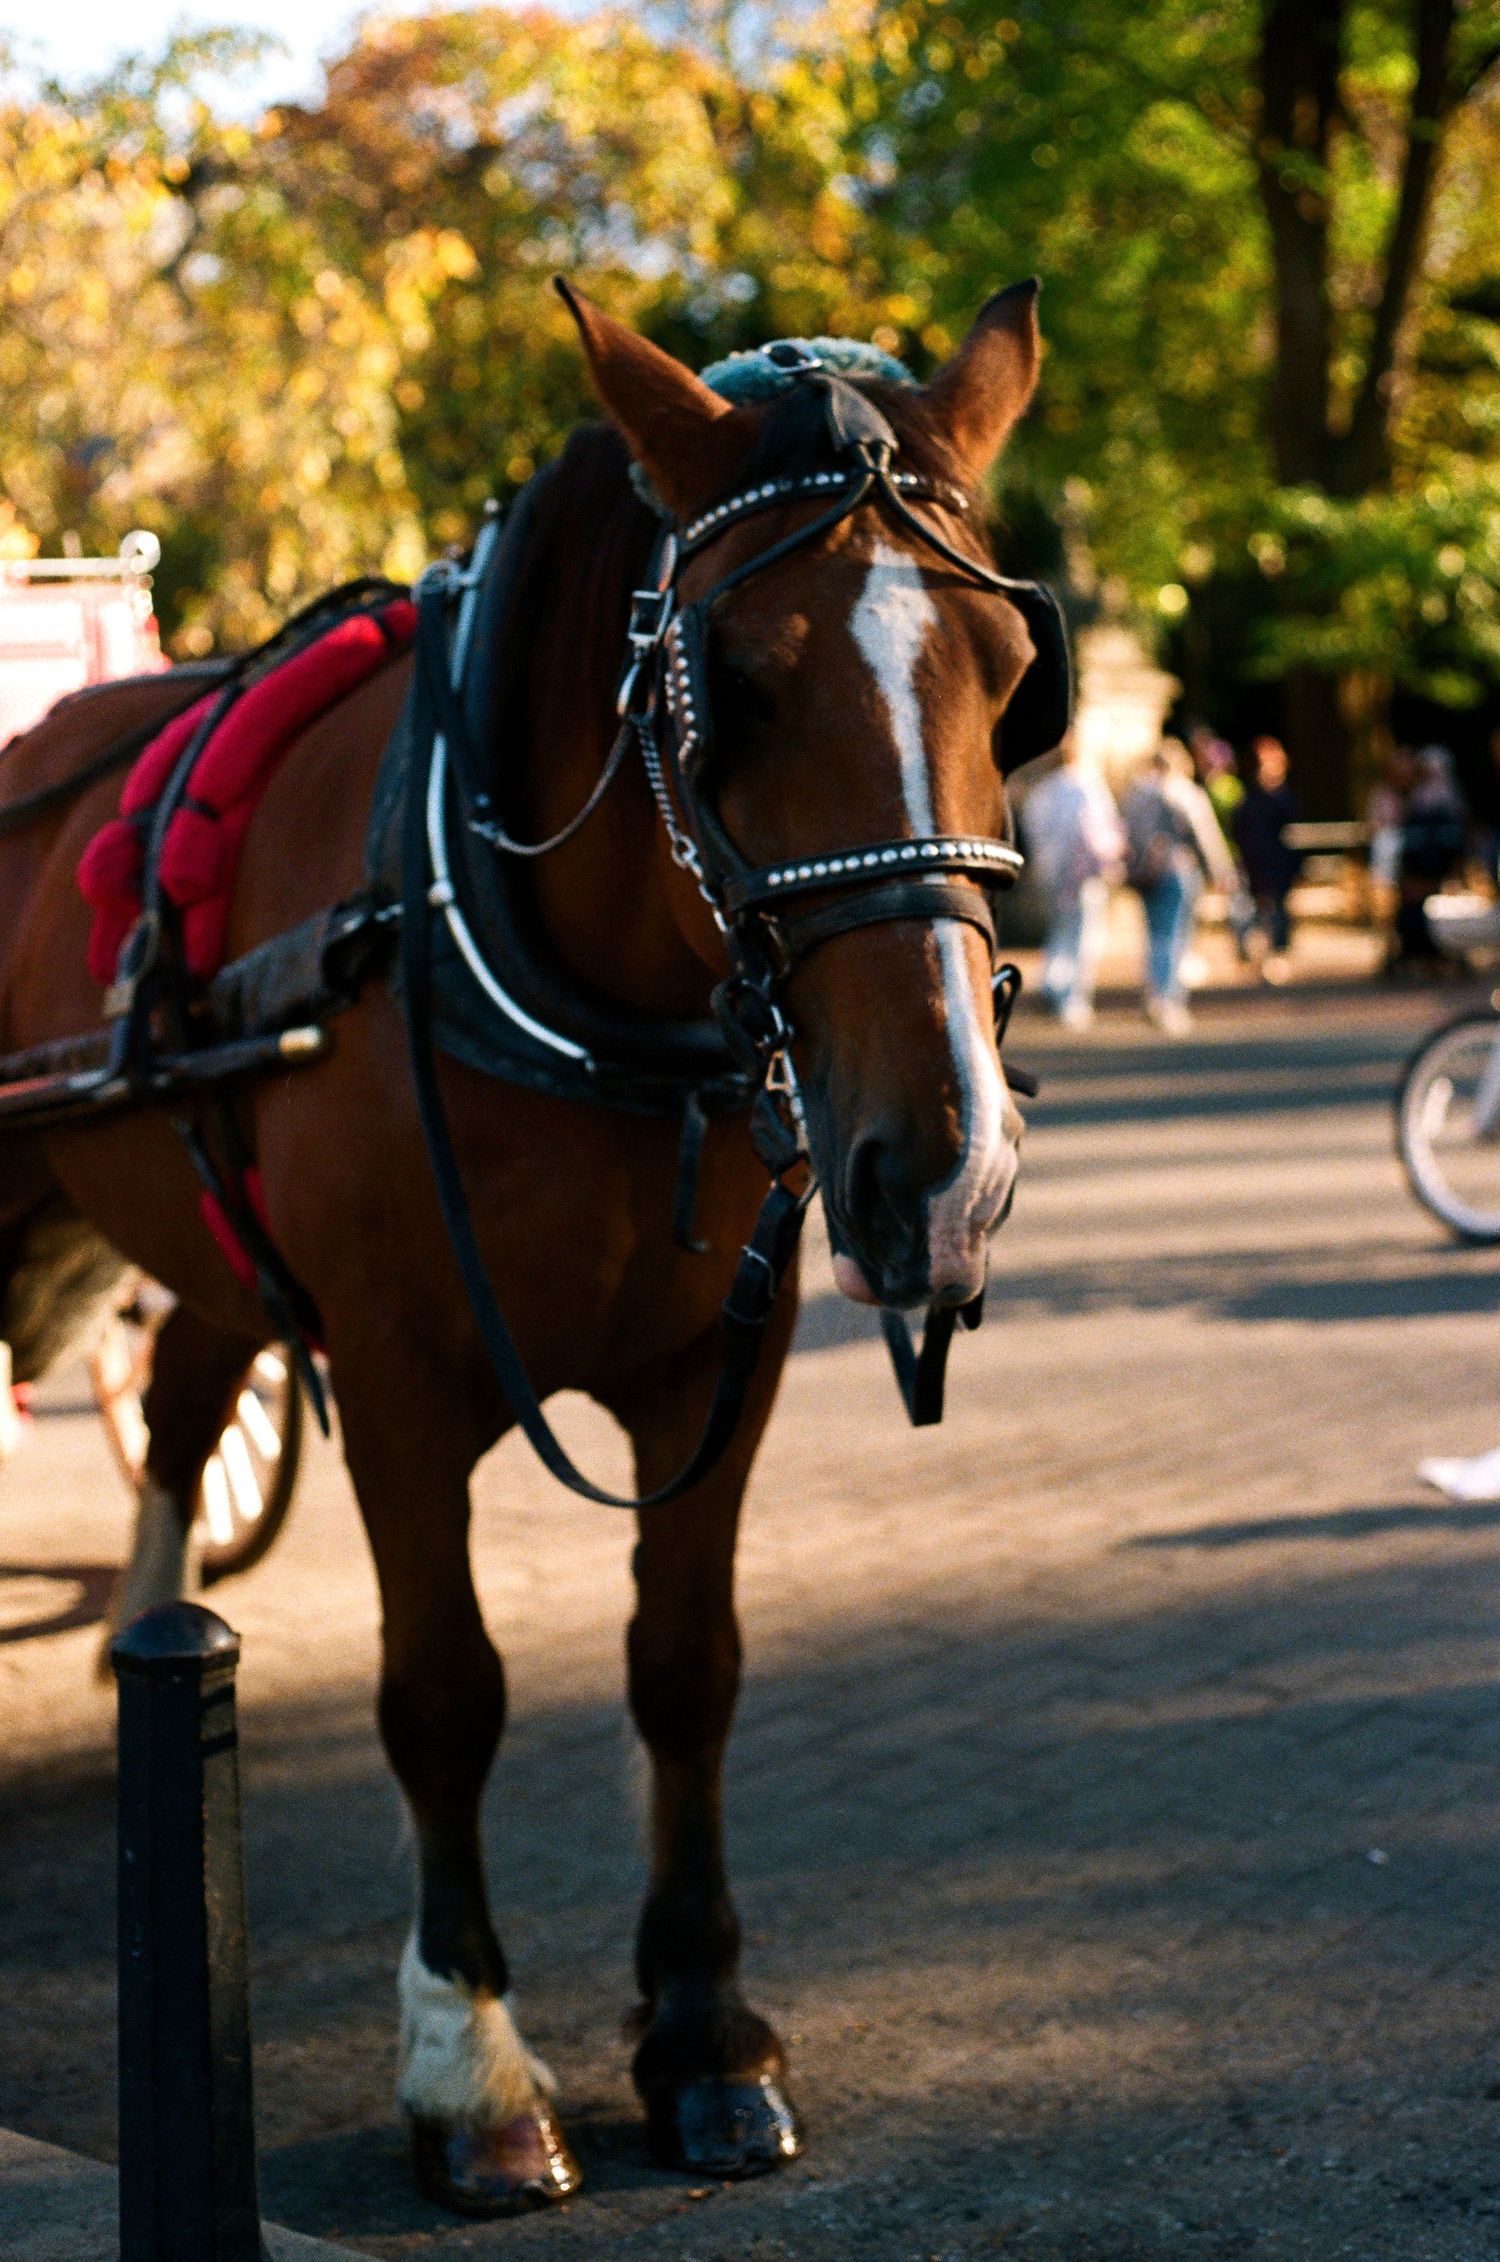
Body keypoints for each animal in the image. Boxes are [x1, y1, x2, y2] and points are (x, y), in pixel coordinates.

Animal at [0, 280, 1048, 2212]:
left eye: (1012, 675)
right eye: (736, 684)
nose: (946, 1168)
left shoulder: (720, 1363)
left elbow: (686, 1668)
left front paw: (704, 2033)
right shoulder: (401, 1374)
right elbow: (446, 1692)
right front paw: (469, 2060)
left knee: (180, 1395)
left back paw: (145, 1630)